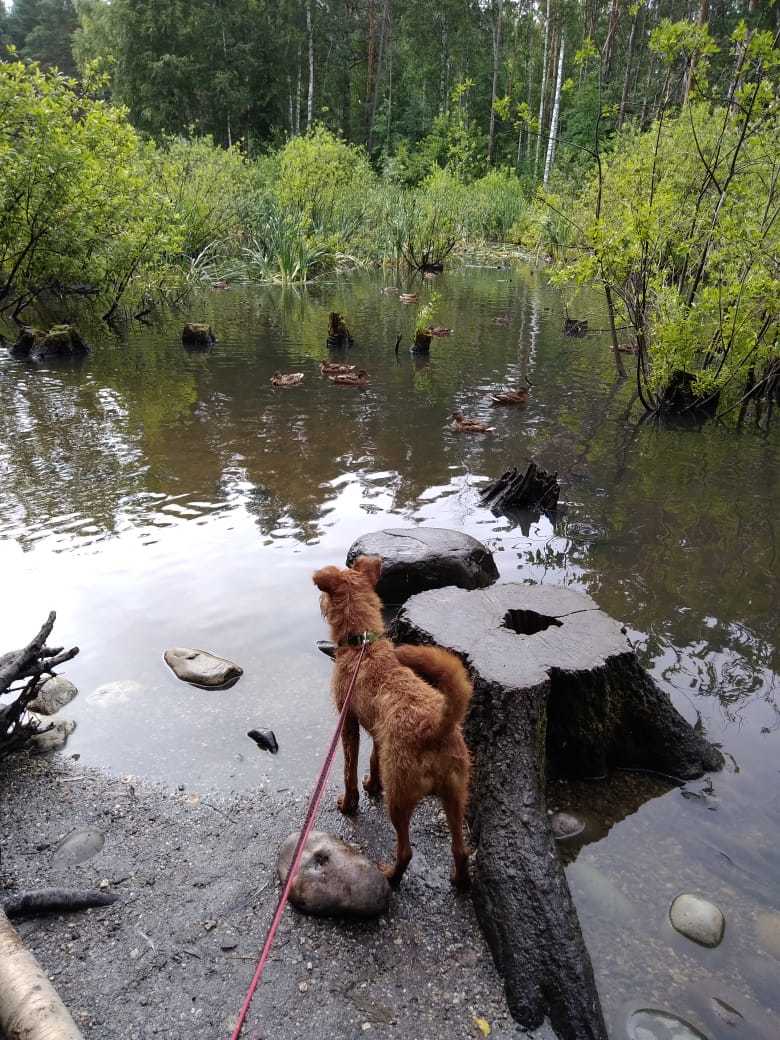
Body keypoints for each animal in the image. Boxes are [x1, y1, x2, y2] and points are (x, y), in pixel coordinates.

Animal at [314, 553, 474, 886]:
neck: (363, 645)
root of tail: (436, 727)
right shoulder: (378, 734)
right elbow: (374, 759)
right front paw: (373, 784)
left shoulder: (348, 722)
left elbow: (349, 771)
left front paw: (348, 804)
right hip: (456, 795)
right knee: (460, 849)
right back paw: (459, 879)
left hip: (399, 798)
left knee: (406, 851)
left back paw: (390, 874)